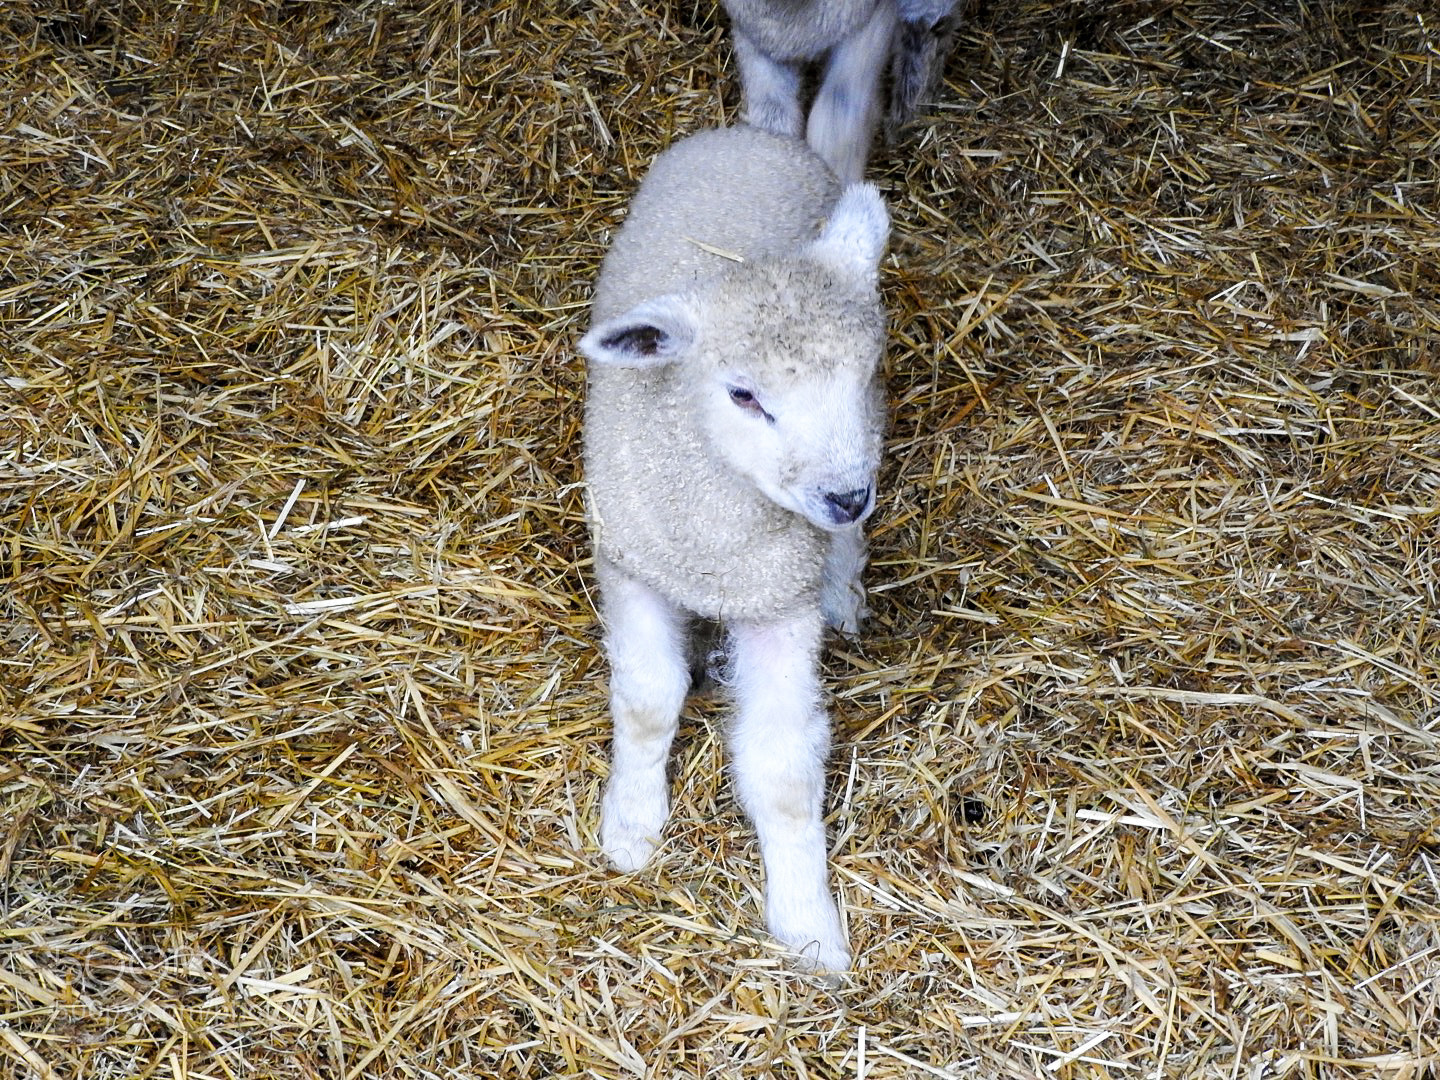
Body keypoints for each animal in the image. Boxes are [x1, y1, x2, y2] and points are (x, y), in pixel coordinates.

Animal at [579, 124, 890, 973]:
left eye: (865, 372)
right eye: (743, 395)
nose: (847, 496)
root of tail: (758, 134)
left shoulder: (777, 604)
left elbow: (782, 770)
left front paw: (808, 924)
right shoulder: (633, 568)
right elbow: (648, 701)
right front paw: (631, 825)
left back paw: (843, 582)